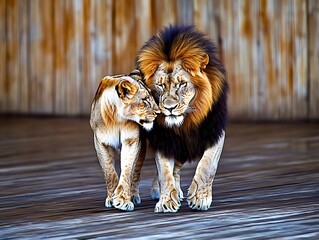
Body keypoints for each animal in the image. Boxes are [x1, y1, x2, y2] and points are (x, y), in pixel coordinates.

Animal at [89, 69, 159, 210]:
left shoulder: (132, 140)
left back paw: (134, 196)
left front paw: (123, 199)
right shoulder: (100, 143)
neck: (117, 118)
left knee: (136, 172)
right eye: (145, 100)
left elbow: (128, 170)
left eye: (151, 97)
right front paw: (112, 197)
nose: (158, 112)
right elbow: (109, 172)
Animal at [136, 25, 229, 212]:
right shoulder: (163, 138)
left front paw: (200, 198)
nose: (169, 108)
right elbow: (164, 171)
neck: (186, 121)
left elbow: (207, 165)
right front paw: (165, 200)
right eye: (160, 85)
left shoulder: (215, 132)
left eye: (182, 84)